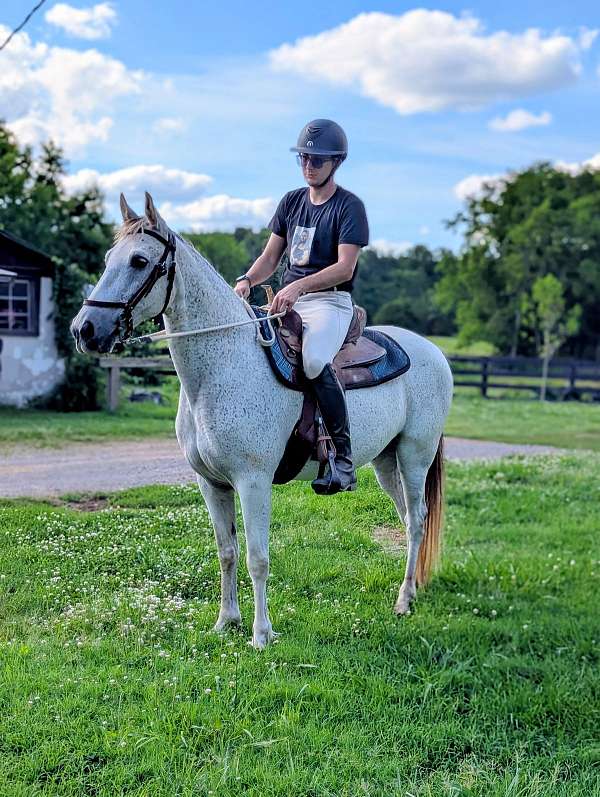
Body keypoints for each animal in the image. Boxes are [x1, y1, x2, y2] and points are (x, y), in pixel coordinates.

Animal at [71, 192, 453, 649]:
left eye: (140, 261)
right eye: (109, 258)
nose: (85, 329)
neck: (223, 365)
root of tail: (432, 351)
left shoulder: (252, 481)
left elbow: (258, 558)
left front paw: (260, 634)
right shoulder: (211, 483)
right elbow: (227, 552)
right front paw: (226, 622)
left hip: (415, 455)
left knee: (417, 521)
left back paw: (403, 601)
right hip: (386, 461)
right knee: (408, 518)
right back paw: (410, 589)